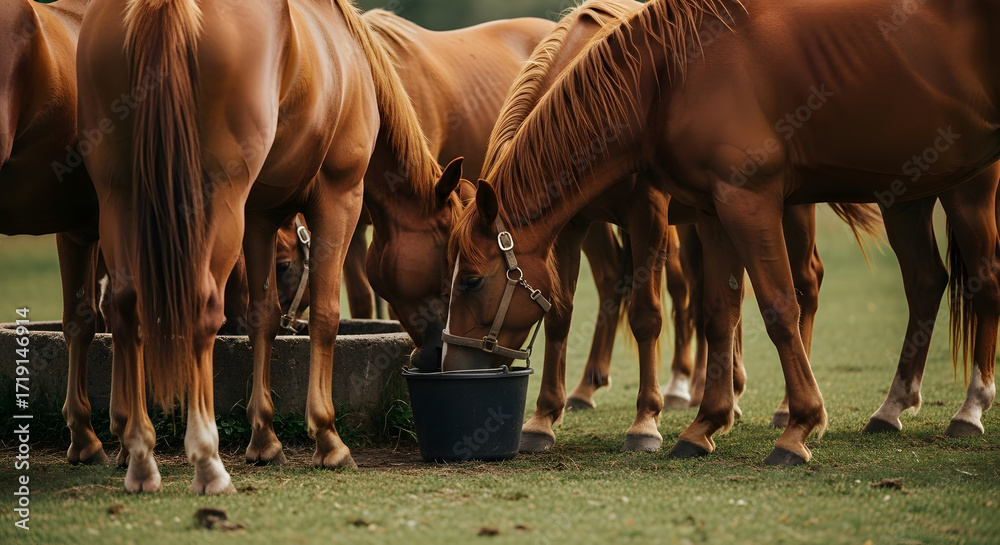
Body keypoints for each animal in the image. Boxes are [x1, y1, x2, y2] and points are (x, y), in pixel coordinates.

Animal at [442, 0, 997, 465]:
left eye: (470, 280)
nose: (452, 366)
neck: (662, 81)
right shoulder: (601, 221)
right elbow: (704, 312)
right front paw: (548, 421)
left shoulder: (694, 206)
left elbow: (730, 309)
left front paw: (654, 424)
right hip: (905, 194)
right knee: (925, 281)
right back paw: (891, 407)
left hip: (955, 191)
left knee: (961, 281)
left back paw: (966, 410)